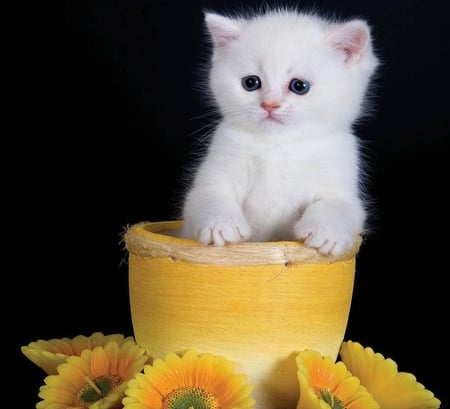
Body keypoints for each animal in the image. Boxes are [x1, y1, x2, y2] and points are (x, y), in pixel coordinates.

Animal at [181, 7, 378, 255]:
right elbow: (209, 196)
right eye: (251, 82)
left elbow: (337, 206)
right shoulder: (218, 166)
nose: (270, 104)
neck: (279, 145)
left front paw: (324, 232)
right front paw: (221, 225)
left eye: (299, 86)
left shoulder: (342, 181)